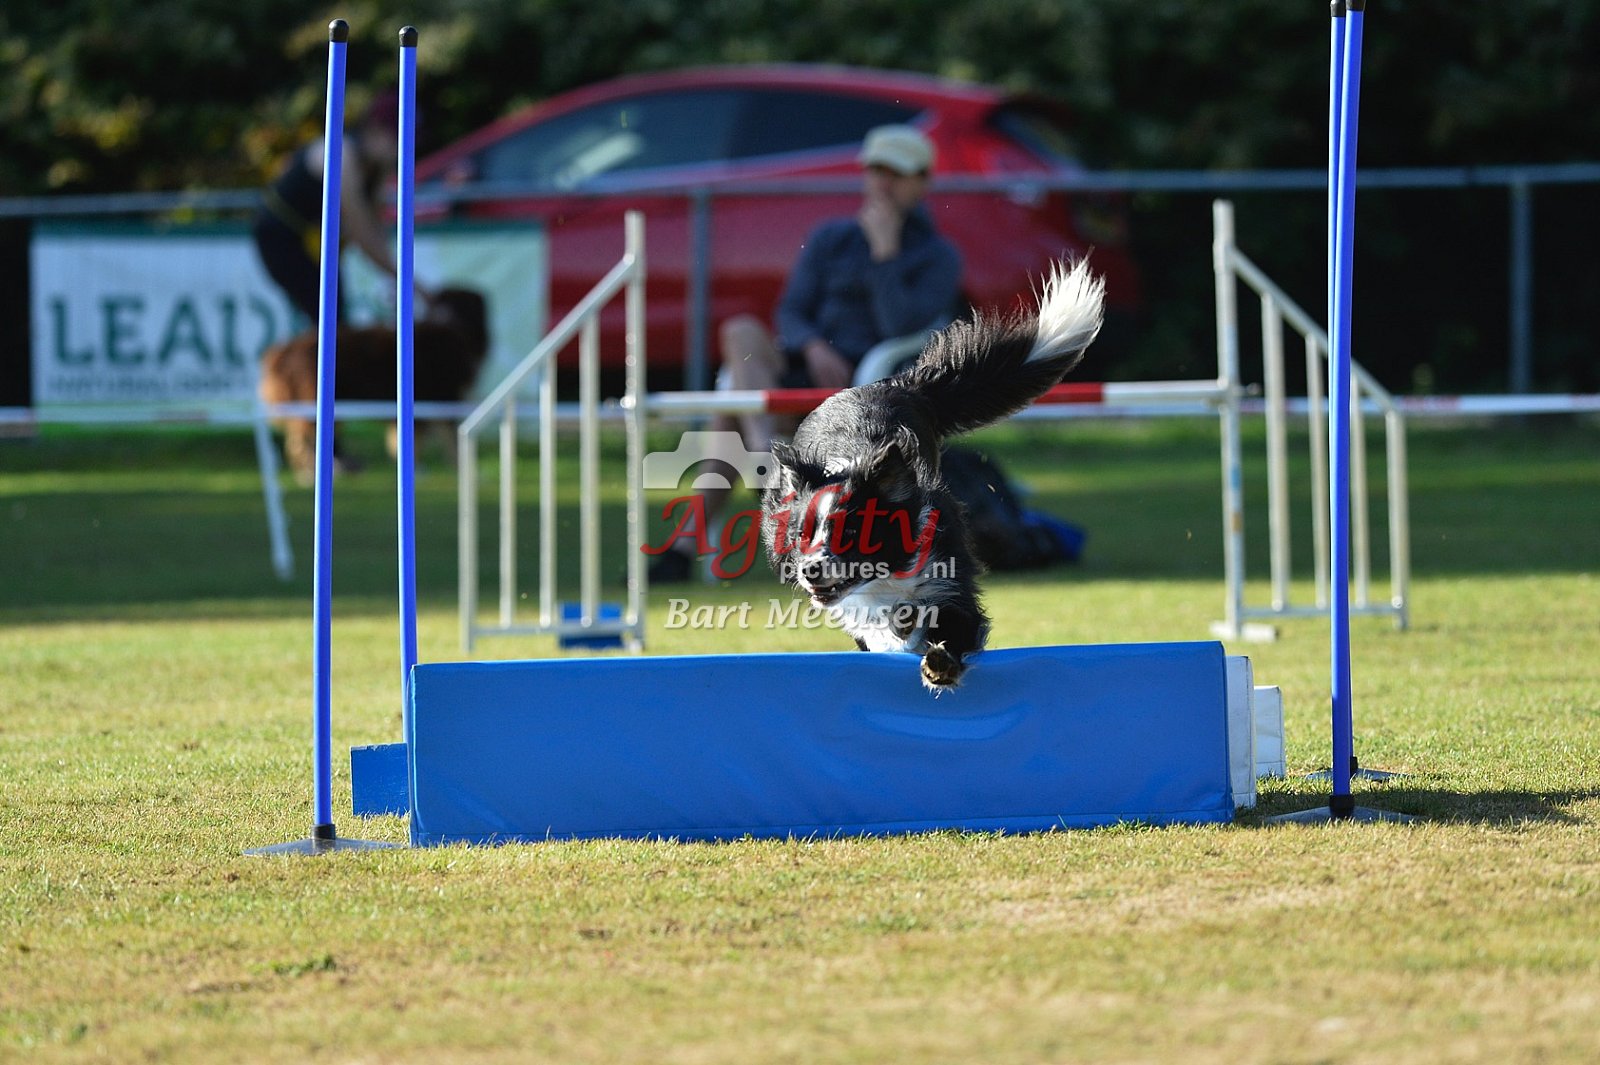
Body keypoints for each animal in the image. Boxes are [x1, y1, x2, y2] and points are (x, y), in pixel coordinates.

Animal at [258, 286, 489, 482]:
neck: (454, 327)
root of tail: (282, 350)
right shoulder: (438, 400)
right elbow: (443, 444)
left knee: (296, 441)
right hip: (312, 403)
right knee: (301, 442)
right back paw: (309, 474)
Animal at [761, 260, 1104, 693]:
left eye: (851, 532)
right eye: (802, 535)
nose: (810, 570)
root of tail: (894, 383)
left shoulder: (950, 581)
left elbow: (954, 625)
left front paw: (939, 664)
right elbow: (875, 627)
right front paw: (901, 630)